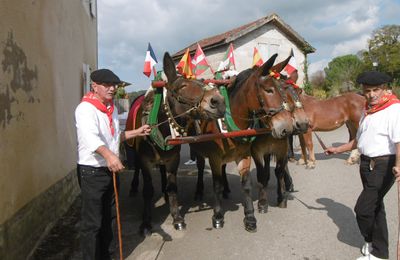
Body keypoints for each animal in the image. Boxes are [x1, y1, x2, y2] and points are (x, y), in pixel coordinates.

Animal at [128, 51, 228, 235]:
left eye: (202, 82)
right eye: (182, 87)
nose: (218, 101)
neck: (161, 127)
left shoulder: (173, 159)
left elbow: (173, 188)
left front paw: (176, 218)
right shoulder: (145, 161)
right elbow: (147, 191)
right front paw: (146, 222)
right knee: (136, 168)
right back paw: (133, 187)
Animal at [191, 53, 294, 233]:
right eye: (269, 90)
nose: (287, 127)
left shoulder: (245, 155)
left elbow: (247, 185)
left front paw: (250, 217)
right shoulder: (215, 158)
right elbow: (216, 186)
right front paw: (217, 216)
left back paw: (227, 190)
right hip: (200, 153)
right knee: (201, 168)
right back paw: (199, 191)